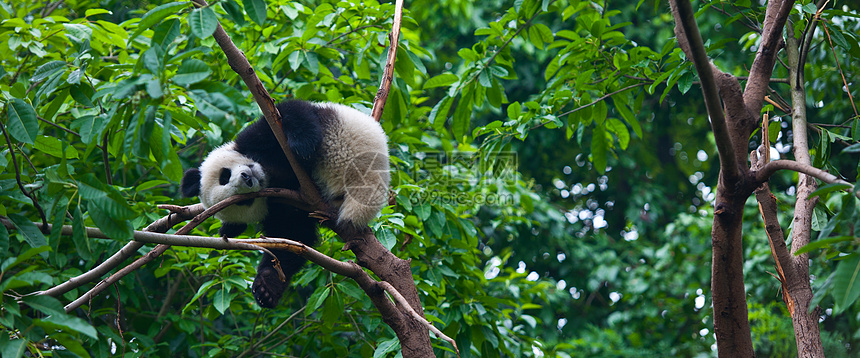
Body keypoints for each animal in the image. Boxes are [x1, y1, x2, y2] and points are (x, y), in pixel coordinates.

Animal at [181, 100, 390, 308]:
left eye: (224, 176)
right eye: (243, 201)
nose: (247, 178)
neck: (270, 173)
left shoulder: (256, 139)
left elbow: (288, 113)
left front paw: (302, 145)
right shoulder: (281, 208)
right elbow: (292, 237)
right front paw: (266, 288)